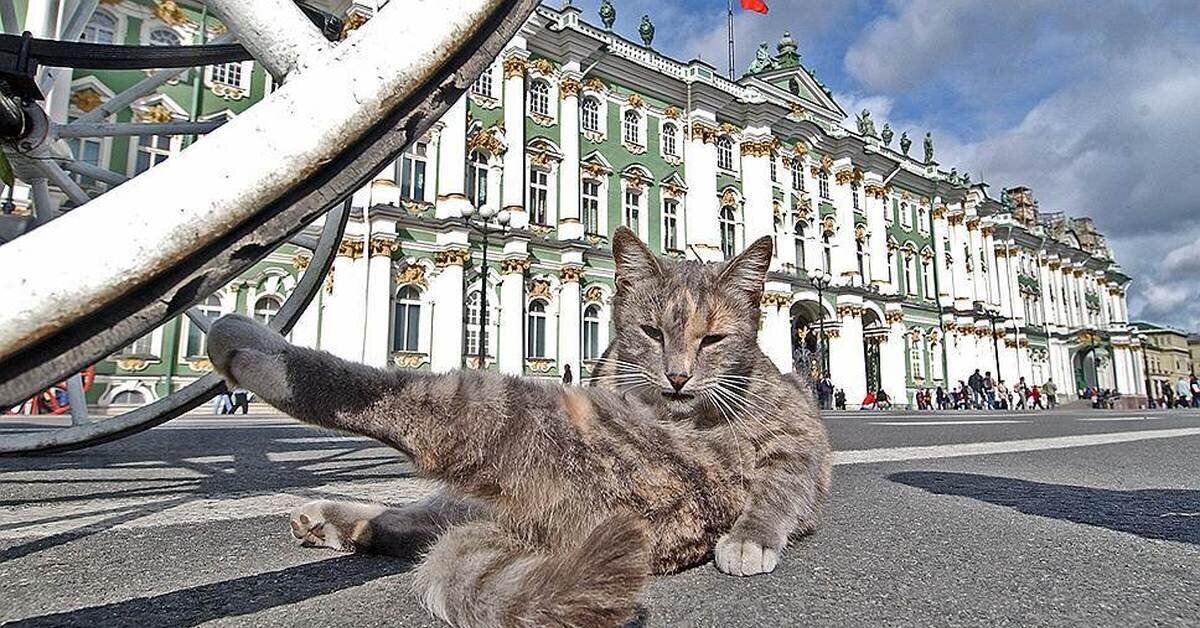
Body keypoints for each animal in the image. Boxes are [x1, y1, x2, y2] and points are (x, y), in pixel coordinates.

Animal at [206, 226, 830, 628]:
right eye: (652, 332)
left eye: (713, 339)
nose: (677, 377)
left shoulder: (793, 438)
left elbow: (782, 485)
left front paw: (750, 538)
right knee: (408, 523)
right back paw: (329, 519)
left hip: (502, 408)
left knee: (399, 406)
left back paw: (251, 347)